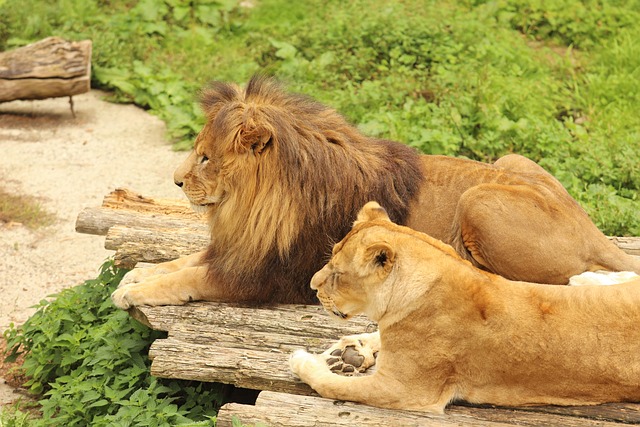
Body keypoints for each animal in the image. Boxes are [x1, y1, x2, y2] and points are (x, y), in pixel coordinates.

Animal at [111, 75, 640, 310]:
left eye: (203, 158)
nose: (176, 181)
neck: (251, 206)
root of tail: (590, 229)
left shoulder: (272, 276)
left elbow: (191, 277)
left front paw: (134, 291)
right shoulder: (242, 249)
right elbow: (182, 261)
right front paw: (138, 275)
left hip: (478, 201)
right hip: (511, 161)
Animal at [290, 202, 640, 413]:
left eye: (337, 274)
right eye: (330, 258)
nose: (312, 286)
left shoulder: (405, 390)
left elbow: (331, 385)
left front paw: (303, 360)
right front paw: (348, 352)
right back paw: (585, 278)